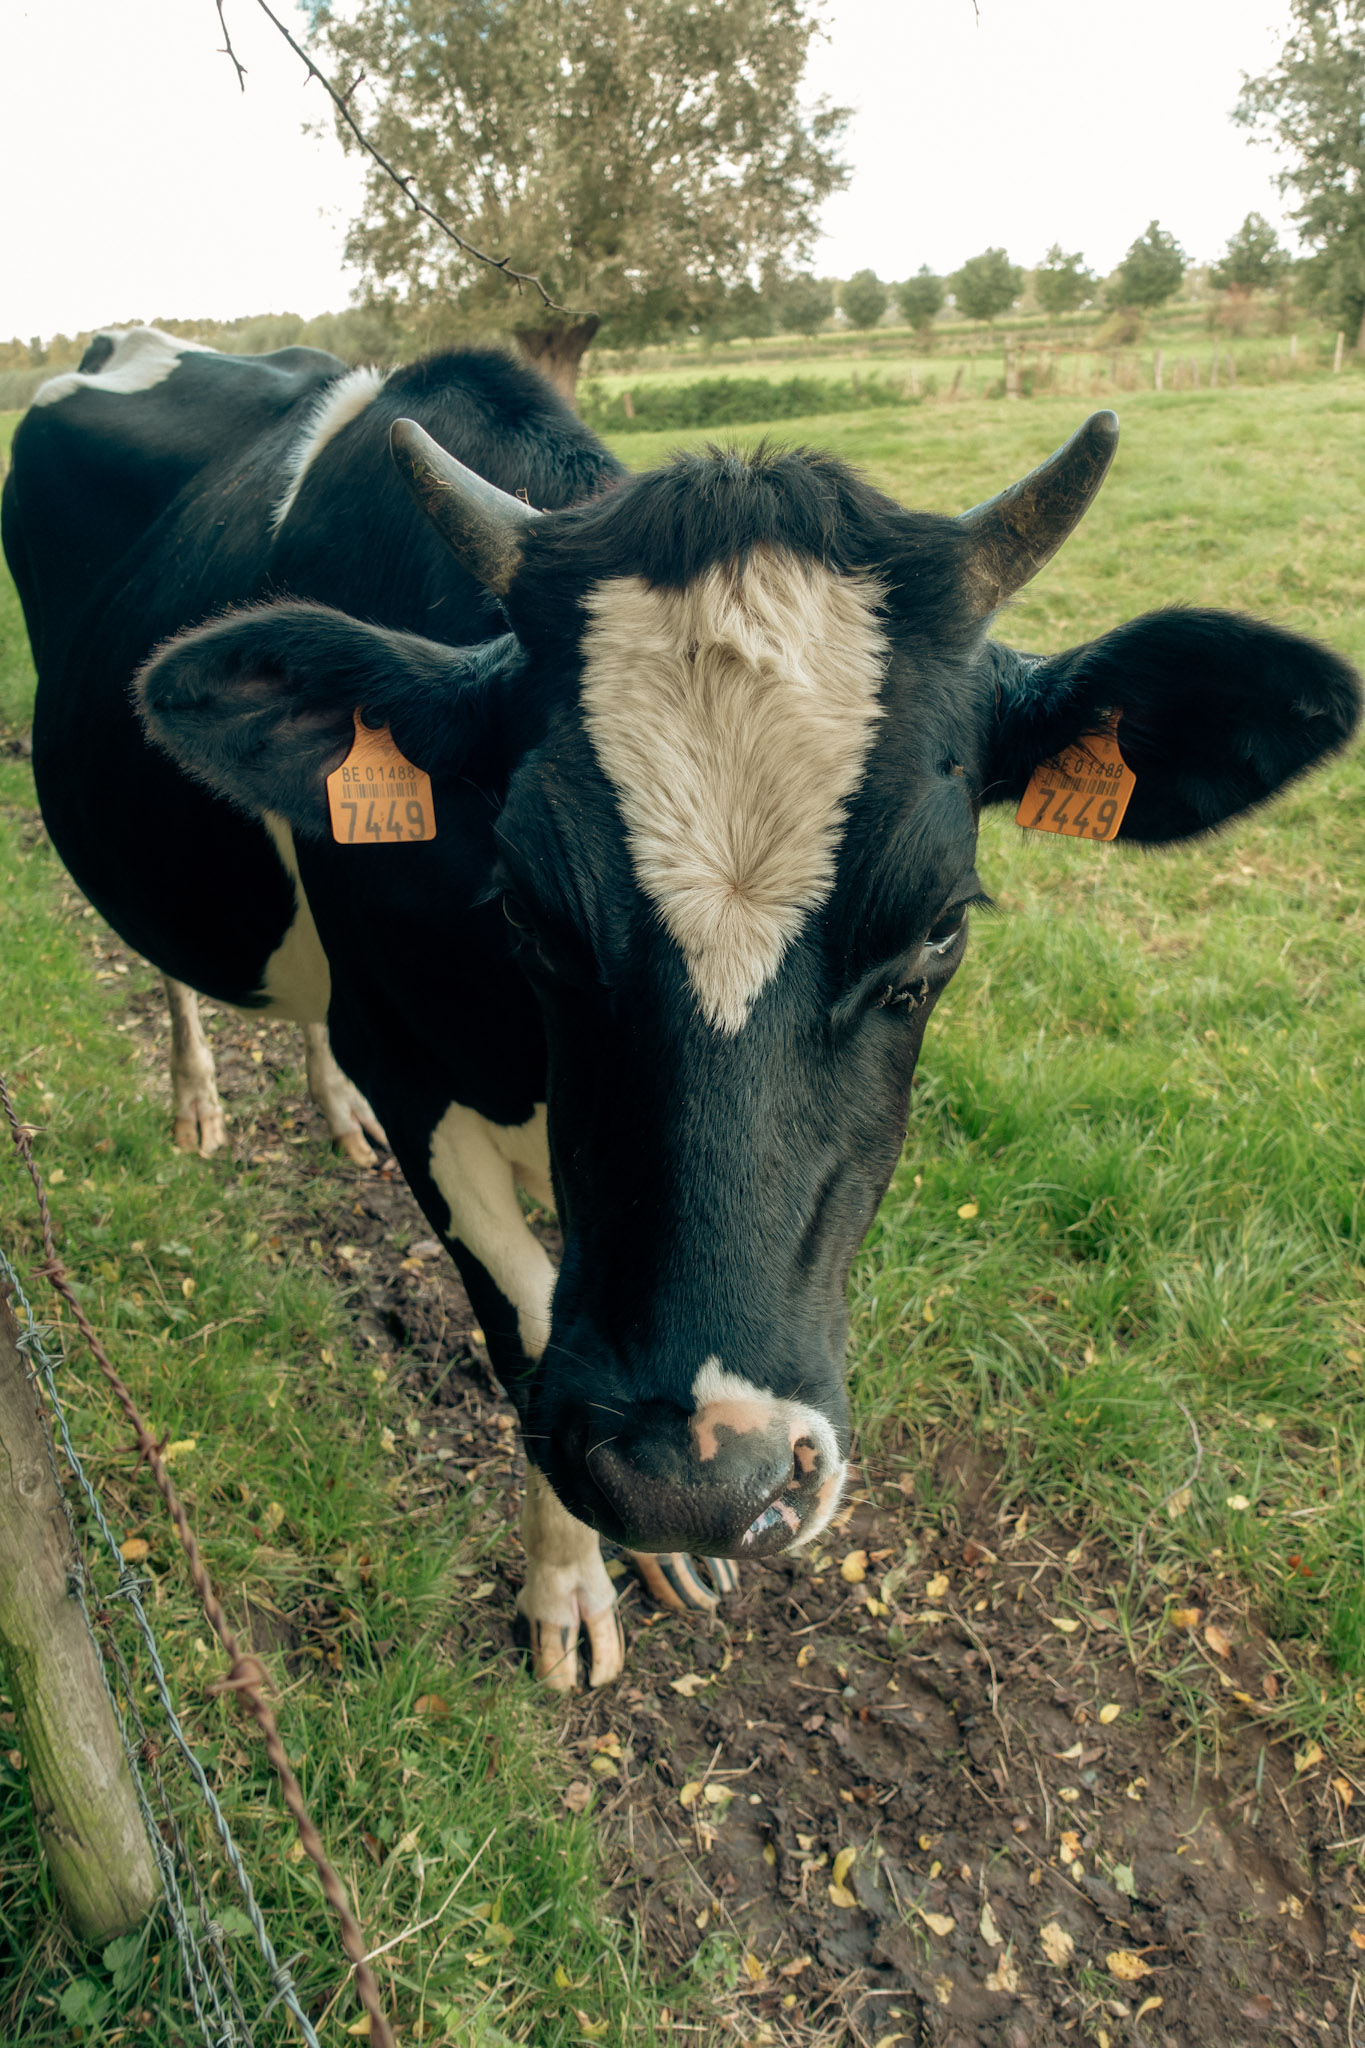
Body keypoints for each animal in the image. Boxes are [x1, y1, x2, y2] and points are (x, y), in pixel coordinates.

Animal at [5, 326, 1359, 1691]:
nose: (699, 1481)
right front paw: (570, 1590)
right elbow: (528, 1321)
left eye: (940, 926)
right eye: (528, 906)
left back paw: (330, 1113)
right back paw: (197, 1102)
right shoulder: (414, 1067)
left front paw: (660, 1556)